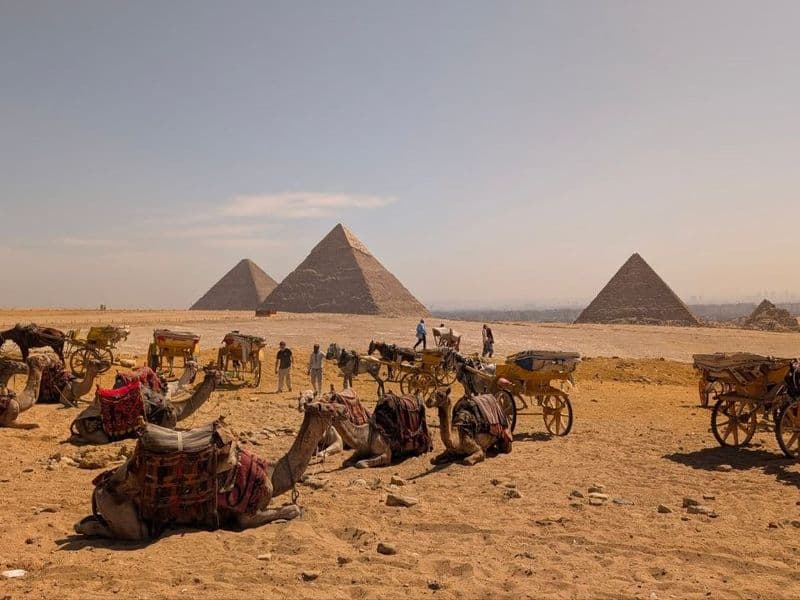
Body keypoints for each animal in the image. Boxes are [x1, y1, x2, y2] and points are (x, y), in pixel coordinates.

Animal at [69, 368, 222, 444]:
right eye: (218, 374)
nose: (224, 377)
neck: (178, 410)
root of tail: (77, 419)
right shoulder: (169, 425)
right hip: (94, 431)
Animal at [74, 401, 348, 540]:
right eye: (328, 406)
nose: (344, 410)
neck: (272, 472)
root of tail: (100, 488)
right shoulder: (246, 516)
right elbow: (292, 509)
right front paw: (290, 512)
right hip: (125, 515)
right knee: (124, 531)